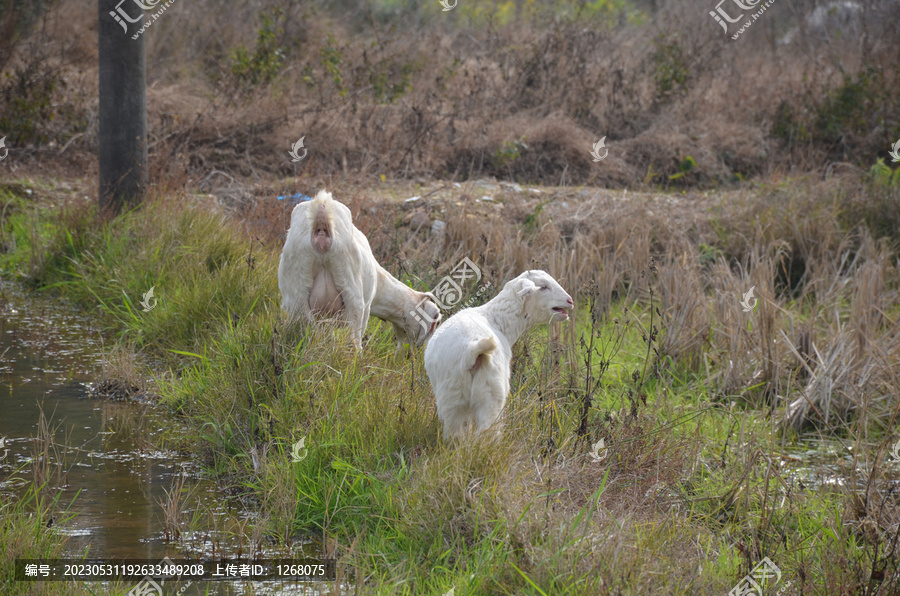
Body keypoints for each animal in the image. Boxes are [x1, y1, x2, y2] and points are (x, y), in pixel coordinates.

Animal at [278, 191, 440, 350]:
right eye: (436, 323)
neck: (380, 284)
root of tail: (321, 214)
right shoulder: (366, 307)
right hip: (351, 287)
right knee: (354, 339)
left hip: (296, 295)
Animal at [426, 270, 572, 438]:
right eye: (543, 286)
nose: (570, 301)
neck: (497, 319)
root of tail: (472, 350)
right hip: (492, 394)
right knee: (486, 433)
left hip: (451, 398)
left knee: (455, 433)